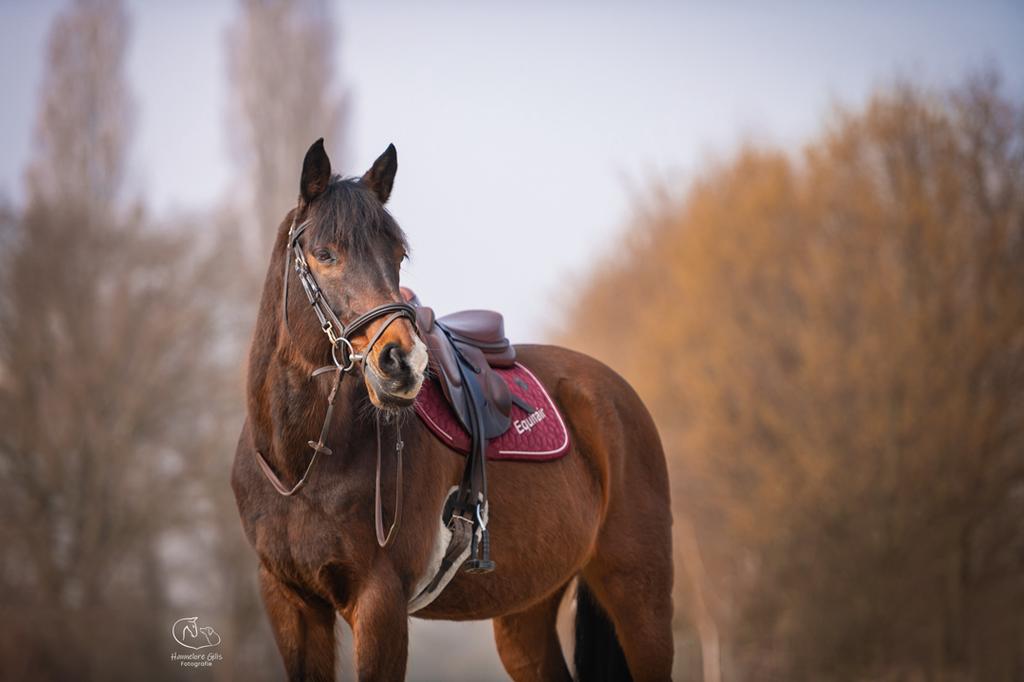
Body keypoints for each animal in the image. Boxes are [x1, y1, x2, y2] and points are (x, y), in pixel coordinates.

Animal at [231, 138, 674, 681]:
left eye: (397, 254)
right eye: (325, 254)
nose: (402, 363)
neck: (302, 465)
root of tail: (615, 393)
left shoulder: (379, 604)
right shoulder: (291, 603)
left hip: (641, 599)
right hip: (527, 612)